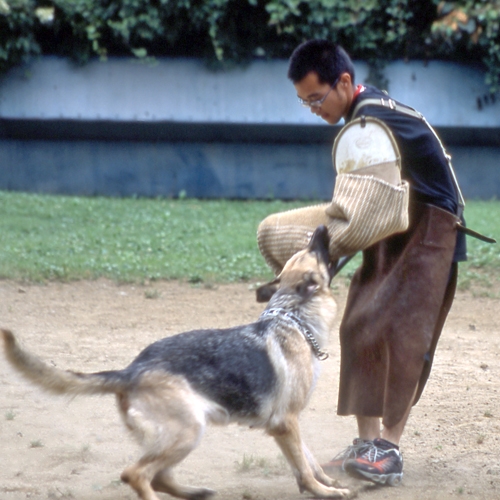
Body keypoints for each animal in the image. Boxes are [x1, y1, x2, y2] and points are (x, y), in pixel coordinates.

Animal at [1, 226, 350, 500]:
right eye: (314, 250)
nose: (322, 226)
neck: (295, 319)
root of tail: (130, 371)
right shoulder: (285, 422)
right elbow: (303, 467)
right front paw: (324, 491)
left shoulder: (289, 423)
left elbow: (308, 459)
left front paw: (327, 482)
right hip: (187, 431)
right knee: (137, 474)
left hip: (183, 433)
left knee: (159, 477)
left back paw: (194, 492)